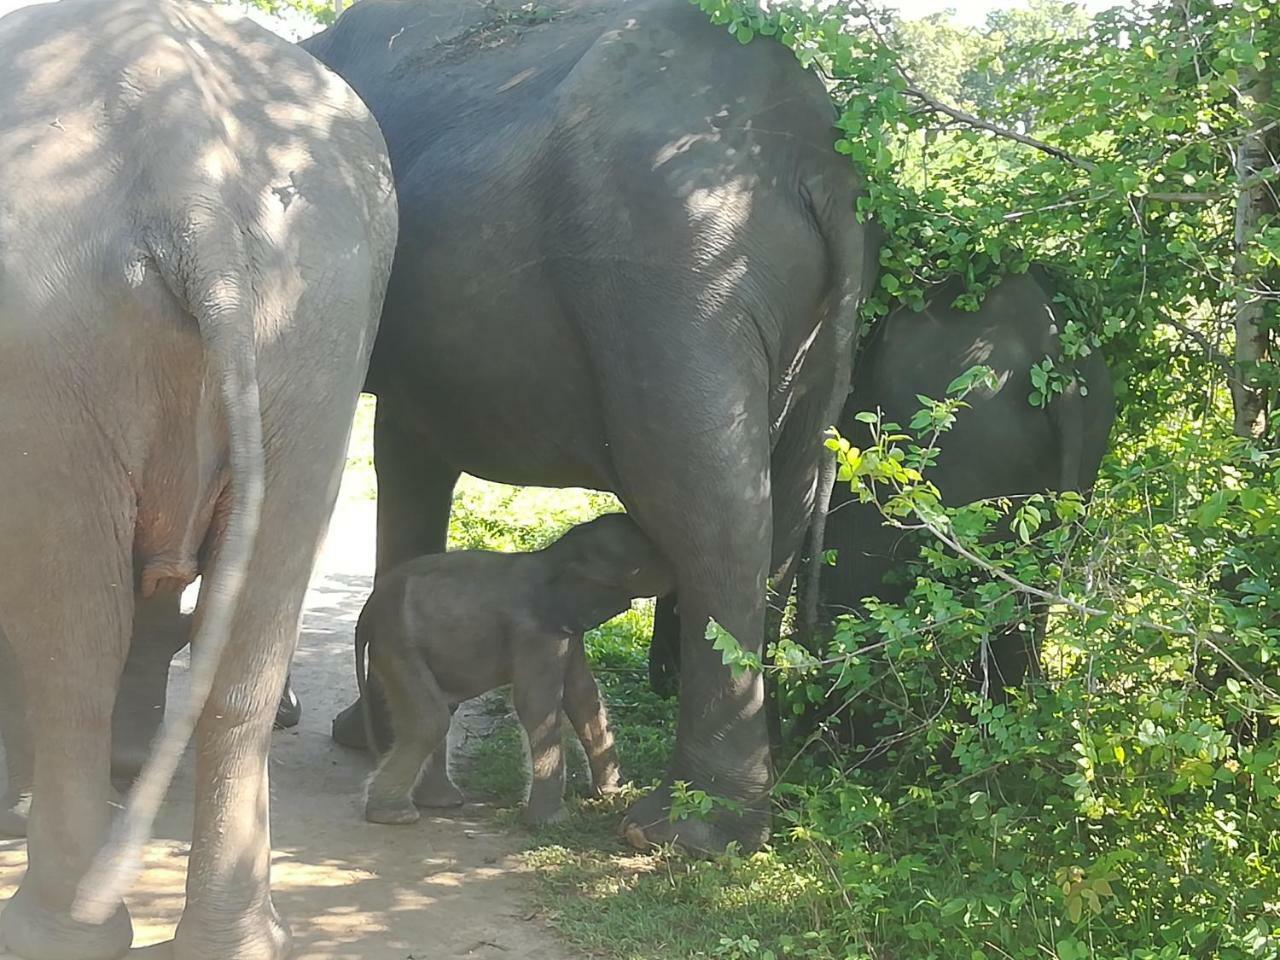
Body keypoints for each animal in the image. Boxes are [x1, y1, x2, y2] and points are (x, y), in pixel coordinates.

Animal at [0, 1, 394, 960]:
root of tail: (190, 179)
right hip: (321, 331)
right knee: (248, 643)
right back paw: (237, 939)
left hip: (46, 354)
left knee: (70, 653)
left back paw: (56, 929)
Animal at [358, 519, 670, 829]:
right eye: (649, 556)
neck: (554, 555)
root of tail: (368, 610)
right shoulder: (536, 633)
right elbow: (536, 704)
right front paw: (552, 822)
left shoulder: (566, 629)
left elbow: (583, 696)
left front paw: (613, 795)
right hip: (399, 644)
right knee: (431, 721)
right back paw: (396, 816)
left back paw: (441, 802)